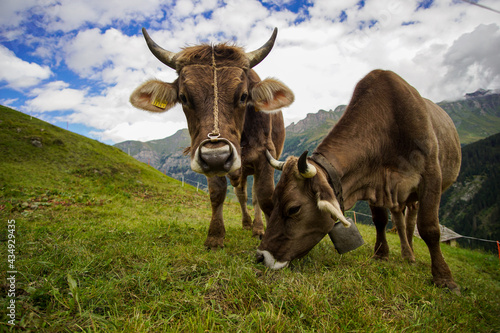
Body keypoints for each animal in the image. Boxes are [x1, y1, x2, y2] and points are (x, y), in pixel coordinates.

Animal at [130, 27, 292, 248]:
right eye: (183, 97)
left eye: (243, 96)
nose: (217, 157)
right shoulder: (206, 157)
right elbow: (217, 193)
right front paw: (215, 237)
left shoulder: (266, 154)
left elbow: (265, 195)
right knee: (241, 194)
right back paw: (246, 224)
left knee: (254, 196)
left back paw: (257, 228)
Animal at [260, 69, 462, 290]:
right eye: (273, 201)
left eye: (293, 209)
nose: (261, 256)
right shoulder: (375, 184)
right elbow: (380, 221)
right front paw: (381, 254)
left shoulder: (431, 175)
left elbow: (430, 228)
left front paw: (444, 279)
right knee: (400, 222)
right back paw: (407, 253)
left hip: (415, 194)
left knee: (410, 223)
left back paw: (410, 255)